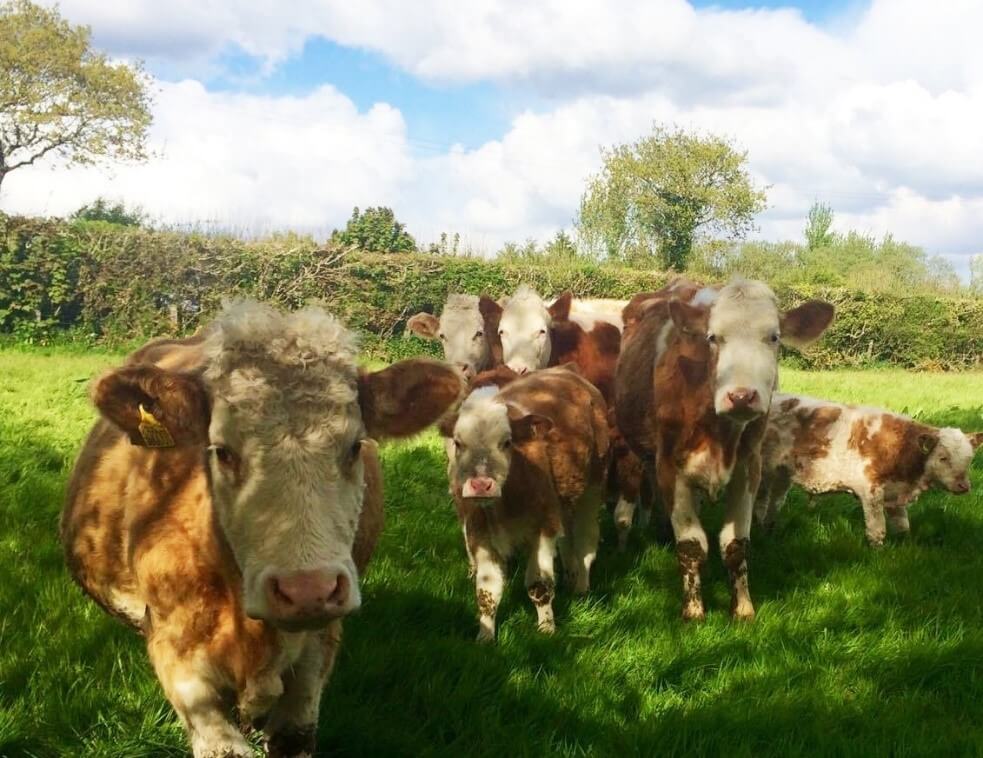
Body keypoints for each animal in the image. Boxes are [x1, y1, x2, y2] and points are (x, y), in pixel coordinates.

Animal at [442, 366, 612, 640]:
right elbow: (487, 590)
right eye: (458, 443)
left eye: (506, 442)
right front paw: (485, 636)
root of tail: (566, 370)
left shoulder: (543, 527)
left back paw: (581, 587)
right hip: (563, 501)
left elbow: (539, 584)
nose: (480, 484)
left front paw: (546, 629)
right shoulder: (479, 532)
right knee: (568, 541)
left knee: (586, 540)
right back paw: (571, 575)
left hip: (593, 488)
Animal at [620, 282, 836, 620]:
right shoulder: (669, 466)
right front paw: (694, 611)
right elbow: (691, 544)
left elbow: (735, 544)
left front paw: (743, 609)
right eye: (713, 337)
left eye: (774, 337)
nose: (741, 396)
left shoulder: (749, 467)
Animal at [756, 394, 980, 544]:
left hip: (782, 473)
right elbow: (877, 530)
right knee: (760, 503)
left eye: (969, 458)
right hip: (762, 473)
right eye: (943, 457)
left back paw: (769, 529)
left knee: (775, 502)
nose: (963, 486)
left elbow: (903, 526)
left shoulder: (895, 493)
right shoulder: (871, 491)